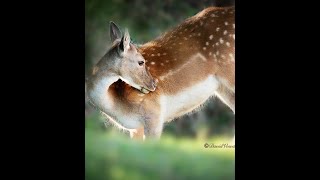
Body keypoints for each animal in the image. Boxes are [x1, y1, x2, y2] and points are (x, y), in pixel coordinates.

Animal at [85, 6, 235, 140]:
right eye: (141, 62)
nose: (153, 84)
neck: (116, 105)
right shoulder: (135, 128)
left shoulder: (154, 114)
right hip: (223, 88)